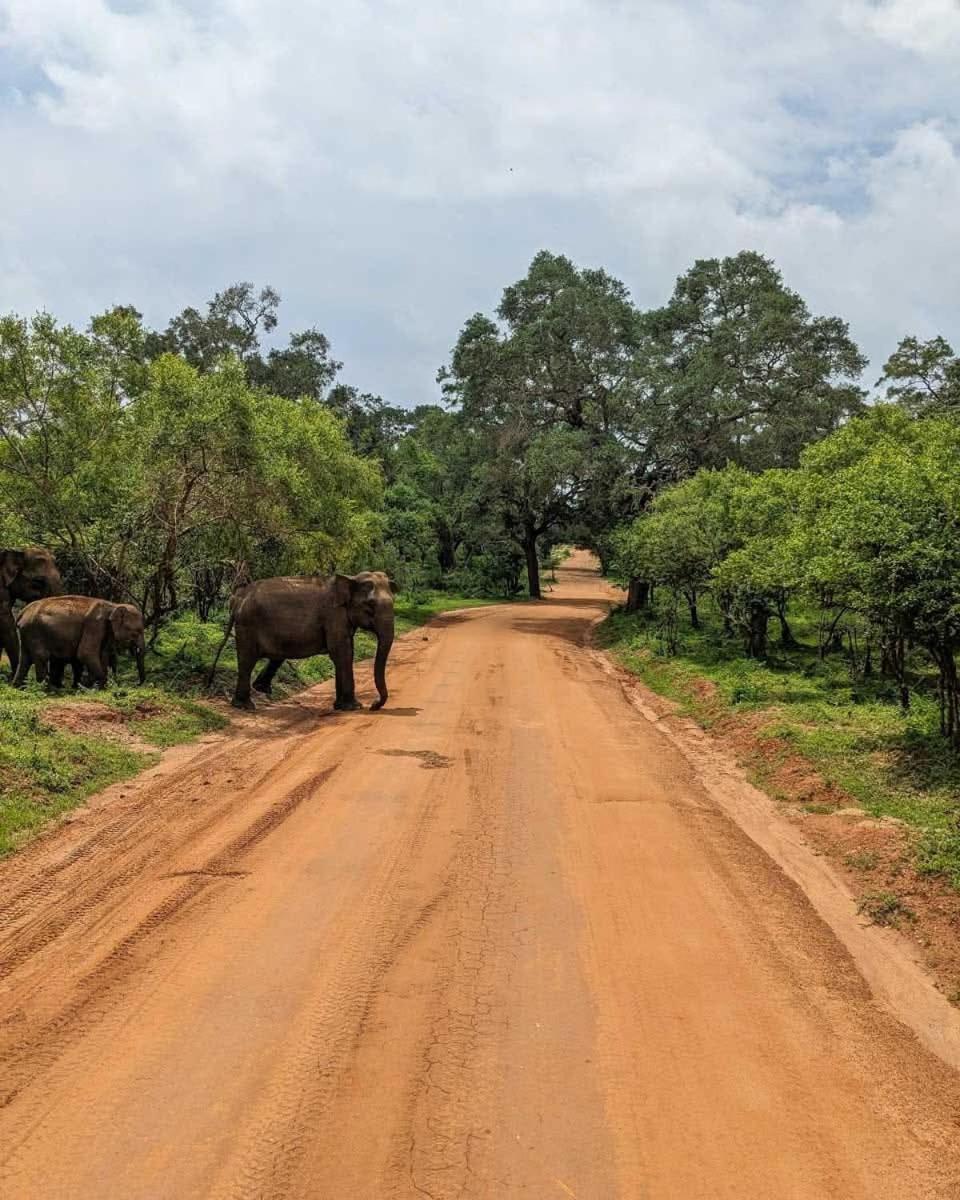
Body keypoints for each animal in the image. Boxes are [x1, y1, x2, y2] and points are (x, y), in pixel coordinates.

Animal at [14, 595, 147, 691]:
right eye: (136, 632)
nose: (137, 684)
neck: (114, 605)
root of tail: (22, 612)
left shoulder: (106, 630)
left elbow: (102, 654)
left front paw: (95, 686)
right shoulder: (94, 625)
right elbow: (85, 653)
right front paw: (98, 686)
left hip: (27, 633)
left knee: (25, 659)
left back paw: (19, 688)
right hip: (34, 631)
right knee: (41, 656)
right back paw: (48, 690)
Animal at [207, 571, 398, 710]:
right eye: (370, 606)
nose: (373, 705)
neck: (351, 579)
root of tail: (237, 598)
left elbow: (344, 653)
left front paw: (340, 707)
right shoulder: (333, 616)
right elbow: (342, 653)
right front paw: (354, 707)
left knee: (274, 657)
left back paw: (259, 690)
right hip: (248, 625)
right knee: (247, 662)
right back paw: (246, 706)